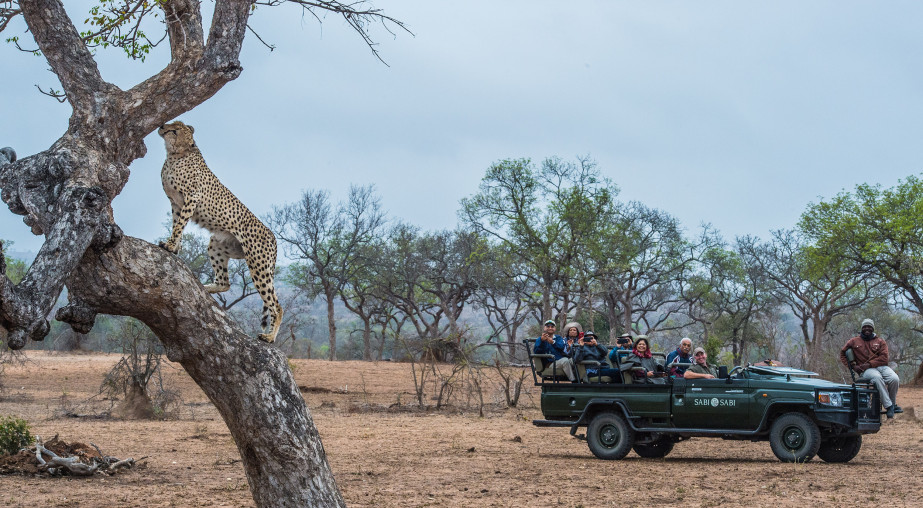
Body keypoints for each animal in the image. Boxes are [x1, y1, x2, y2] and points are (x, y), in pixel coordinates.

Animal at [157, 121, 283, 343]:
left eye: (174, 130)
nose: (162, 126)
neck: (175, 154)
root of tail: (273, 236)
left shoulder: (191, 198)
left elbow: (179, 225)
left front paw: (170, 245)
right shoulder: (176, 202)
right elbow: (176, 225)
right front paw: (175, 247)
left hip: (258, 265)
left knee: (276, 305)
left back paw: (269, 337)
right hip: (217, 244)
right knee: (225, 283)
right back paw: (205, 287)